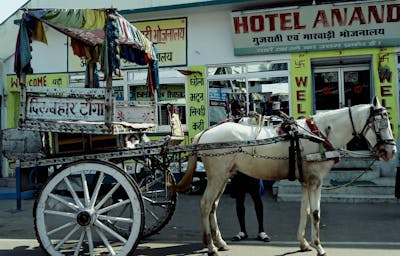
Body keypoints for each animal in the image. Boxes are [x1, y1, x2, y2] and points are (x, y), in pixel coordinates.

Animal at [173, 97, 396, 255]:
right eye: (382, 123)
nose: (391, 151)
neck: (318, 135)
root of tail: (204, 134)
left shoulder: (306, 182)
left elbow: (305, 211)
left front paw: (304, 243)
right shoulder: (315, 181)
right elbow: (316, 214)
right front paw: (319, 246)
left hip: (223, 177)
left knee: (213, 206)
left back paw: (219, 242)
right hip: (217, 177)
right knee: (205, 205)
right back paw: (211, 246)